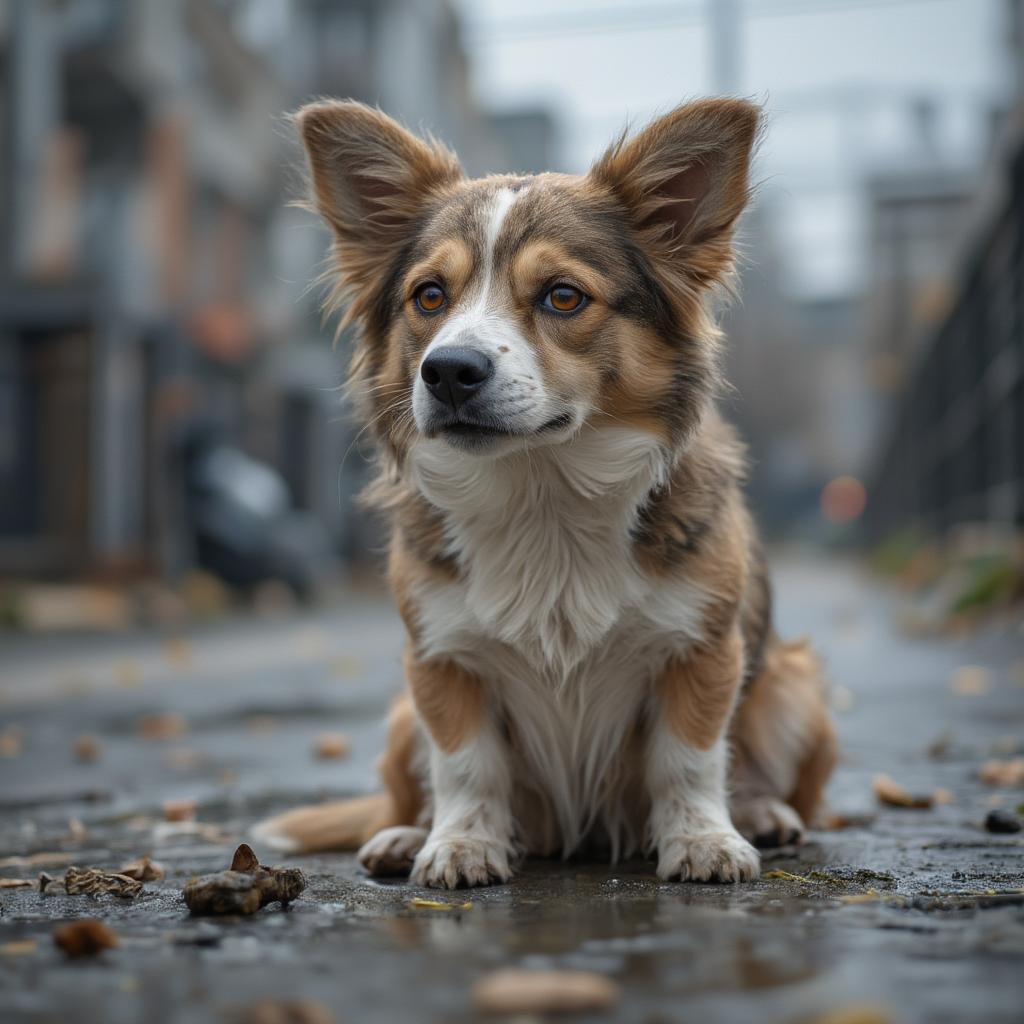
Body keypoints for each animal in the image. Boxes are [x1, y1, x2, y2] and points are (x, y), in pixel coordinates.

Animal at [251, 99, 835, 892]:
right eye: (429, 296)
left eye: (563, 296)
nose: (447, 371)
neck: (542, 493)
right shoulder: (440, 662)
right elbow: (467, 766)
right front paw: (460, 844)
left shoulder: (703, 651)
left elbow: (687, 760)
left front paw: (703, 840)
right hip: (402, 716)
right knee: (406, 794)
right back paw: (405, 833)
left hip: (796, 685)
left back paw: (764, 815)